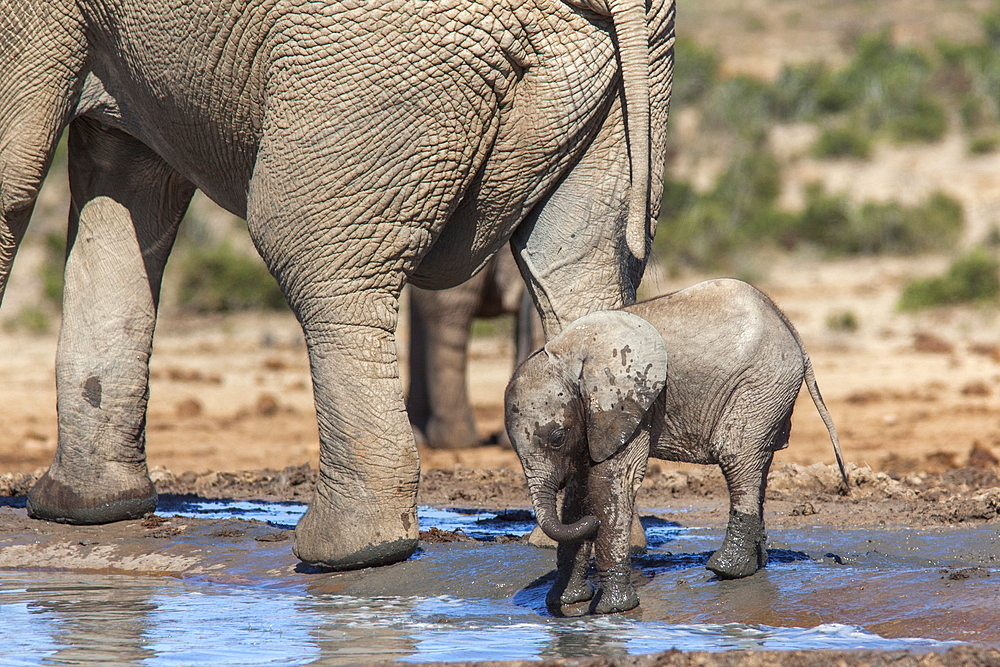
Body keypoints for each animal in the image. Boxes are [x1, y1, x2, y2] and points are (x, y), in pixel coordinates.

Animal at [0, 1, 676, 576]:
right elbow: (126, 186)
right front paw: (84, 509)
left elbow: (16, 177)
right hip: (612, 83)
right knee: (573, 268)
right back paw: (595, 533)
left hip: (375, 67)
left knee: (310, 251)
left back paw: (347, 552)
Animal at [504, 278, 848, 616]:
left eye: (557, 437)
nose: (592, 525)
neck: (568, 354)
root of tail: (790, 328)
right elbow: (578, 490)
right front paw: (563, 602)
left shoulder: (630, 406)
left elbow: (610, 482)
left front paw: (611, 610)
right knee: (756, 463)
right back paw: (755, 565)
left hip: (761, 383)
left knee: (737, 458)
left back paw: (726, 569)